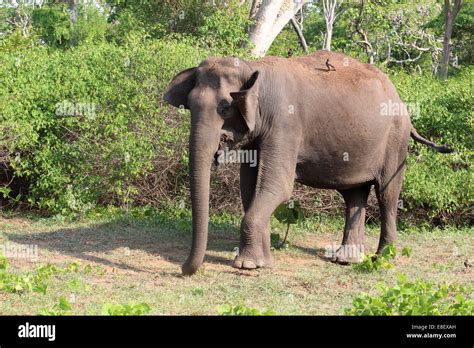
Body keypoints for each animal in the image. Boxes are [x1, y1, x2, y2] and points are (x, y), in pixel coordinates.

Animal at [165, 50, 454, 276]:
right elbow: (249, 188)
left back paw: (382, 259)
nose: (183, 269)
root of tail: (400, 100)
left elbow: (277, 186)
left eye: (225, 107)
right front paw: (262, 263)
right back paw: (346, 260)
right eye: (189, 105)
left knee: (387, 195)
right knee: (354, 195)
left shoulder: (285, 122)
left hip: (395, 140)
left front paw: (246, 265)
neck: (251, 66)